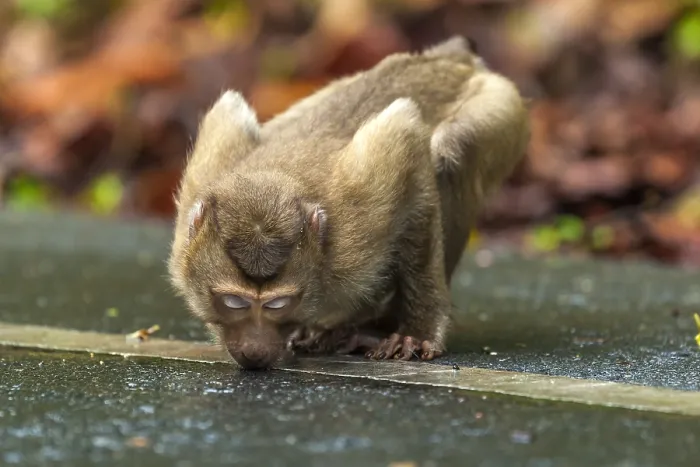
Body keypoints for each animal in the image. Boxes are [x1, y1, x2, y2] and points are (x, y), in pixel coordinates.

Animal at [167, 36, 530, 370]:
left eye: (276, 305)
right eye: (234, 302)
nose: (254, 350)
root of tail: (450, 60)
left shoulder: (360, 220)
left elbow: (409, 140)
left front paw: (417, 330)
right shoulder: (201, 181)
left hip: (498, 105)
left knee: (450, 149)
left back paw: (372, 324)